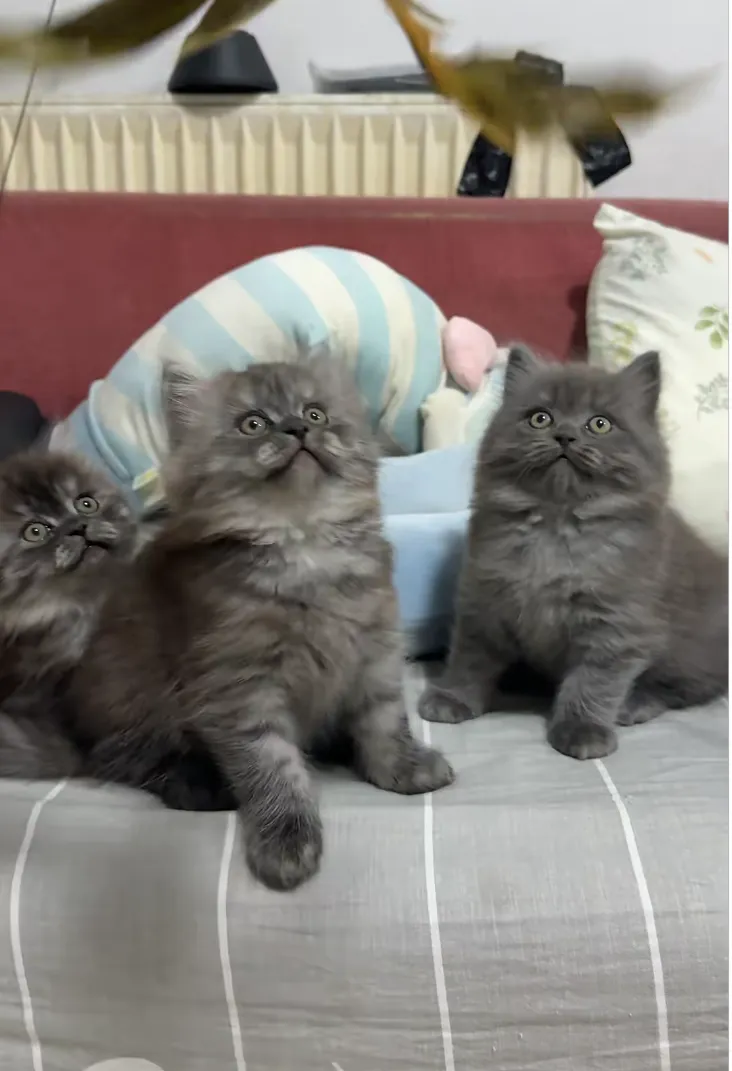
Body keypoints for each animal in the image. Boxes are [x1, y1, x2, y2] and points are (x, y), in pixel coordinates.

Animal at [68, 357, 455, 891]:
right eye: (253, 424)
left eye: (315, 413)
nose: (297, 429)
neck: (304, 543)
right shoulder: (238, 687)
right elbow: (273, 766)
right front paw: (287, 839)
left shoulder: (375, 651)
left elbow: (383, 721)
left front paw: (402, 766)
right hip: (132, 695)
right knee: (125, 758)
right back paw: (200, 784)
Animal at [419, 346, 728, 760]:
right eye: (540, 418)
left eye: (599, 424)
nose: (564, 435)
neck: (556, 525)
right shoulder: (483, 601)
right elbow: (470, 658)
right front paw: (452, 697)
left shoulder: (616, 624)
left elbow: (593, 682)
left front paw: (582, 731)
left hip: (692, 651)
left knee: (686, 688)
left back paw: (635, 703)